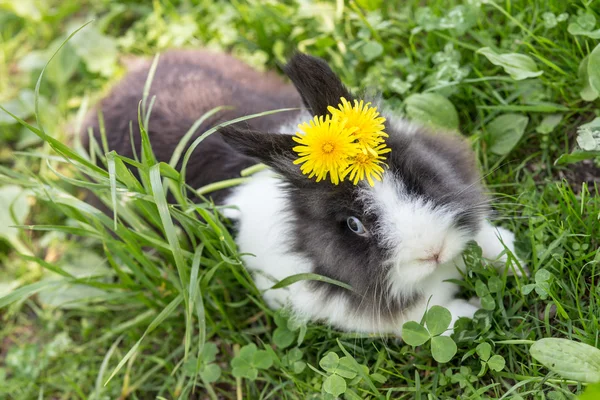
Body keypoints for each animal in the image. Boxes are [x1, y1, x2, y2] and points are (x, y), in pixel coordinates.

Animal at [82, 50, 524, 338]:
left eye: (414, 177)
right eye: (353, 225)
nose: (432, 251)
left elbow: (485, 238)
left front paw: (512, 259)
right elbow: (429, 315)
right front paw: (473, 312)